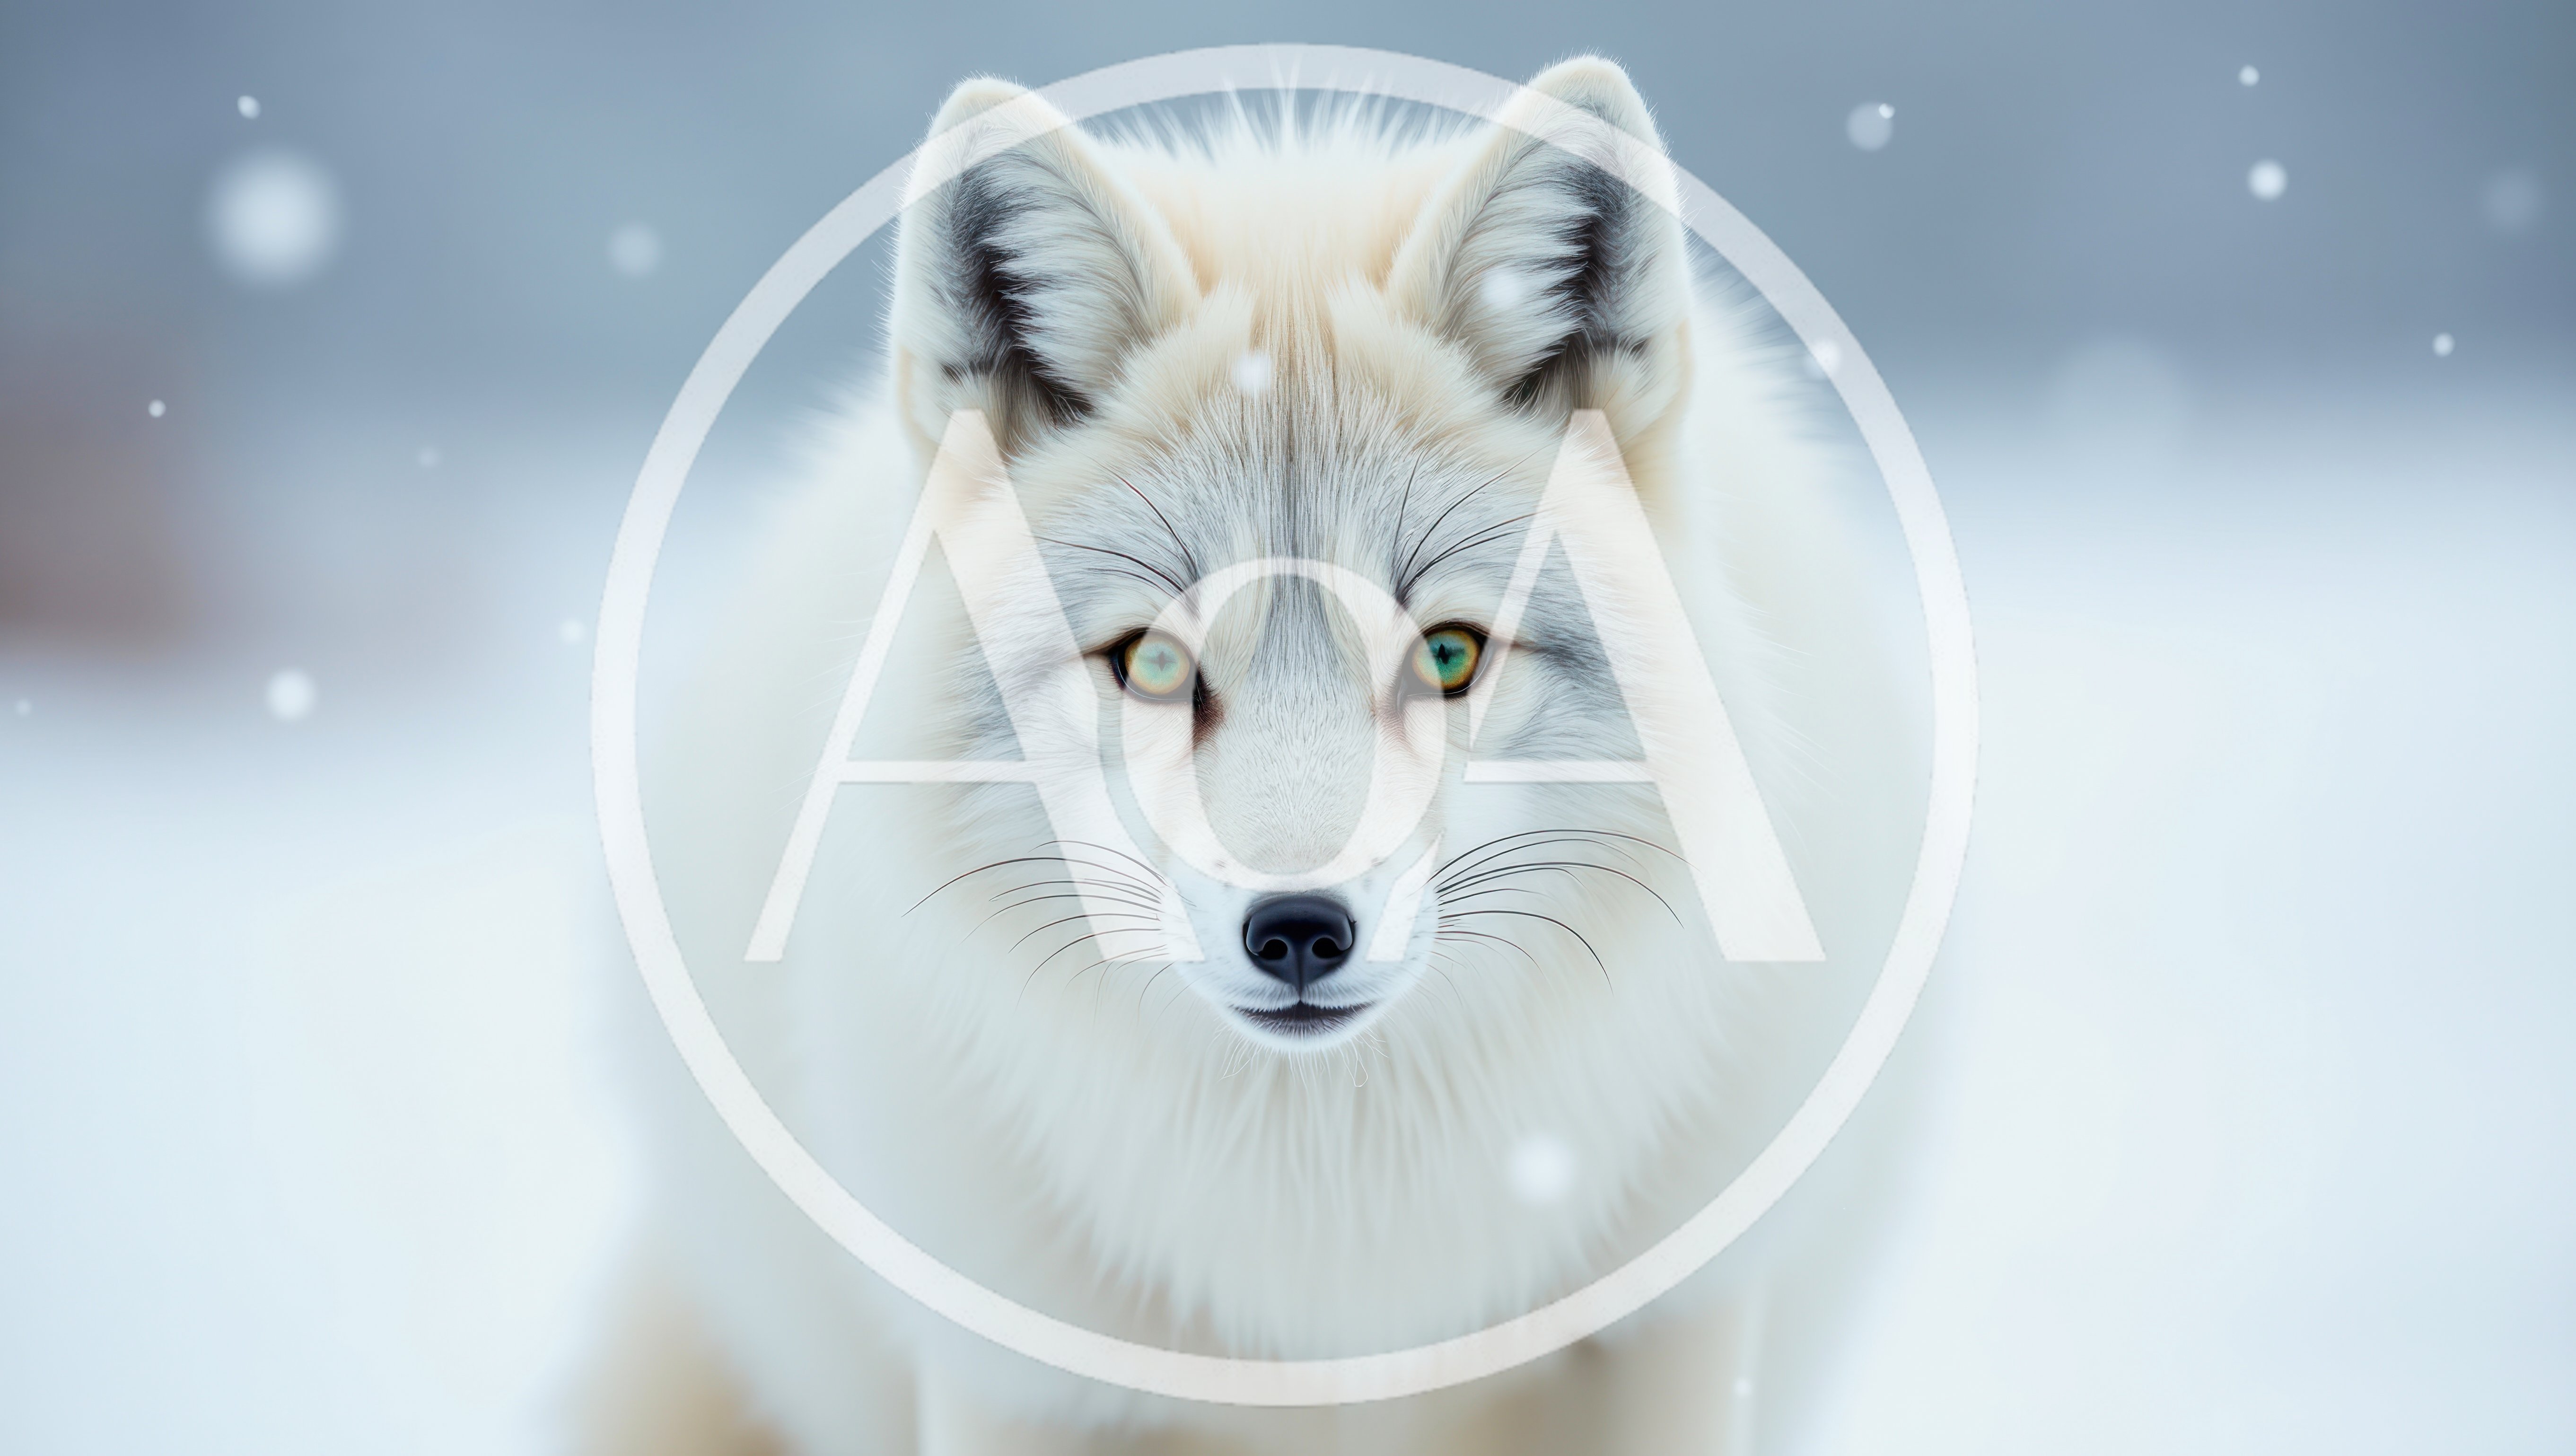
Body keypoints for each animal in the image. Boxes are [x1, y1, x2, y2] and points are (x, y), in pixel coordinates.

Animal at [578, 54, 1925, 1456]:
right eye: (1154, 663)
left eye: (1449, 653)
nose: (1296, 928)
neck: (1325, 1250)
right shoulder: (1024, 1376)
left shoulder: (1667, 1330)